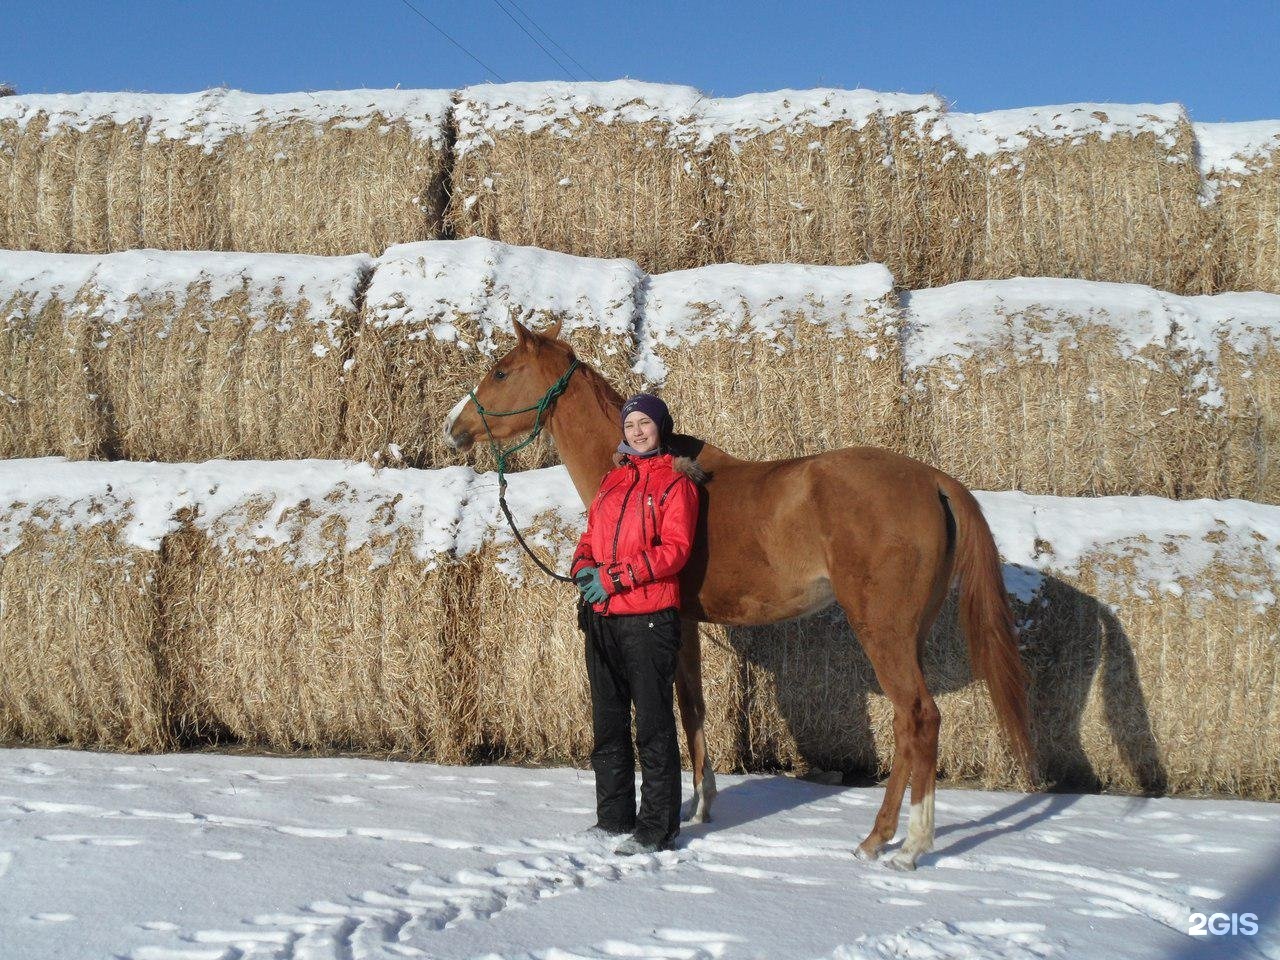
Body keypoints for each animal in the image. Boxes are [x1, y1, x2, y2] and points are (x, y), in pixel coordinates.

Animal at [442, 321, 1029, 870]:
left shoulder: (673, 623)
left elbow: (684, 710)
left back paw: (898, 846)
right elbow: (697, 708)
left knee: (918, 718)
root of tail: (933, 480)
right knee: (910, 725)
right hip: (912, 634)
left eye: (501, 372)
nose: (455, 427)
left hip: (882, 631)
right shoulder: (689, 627)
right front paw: (703, 806)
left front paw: (691, 809)